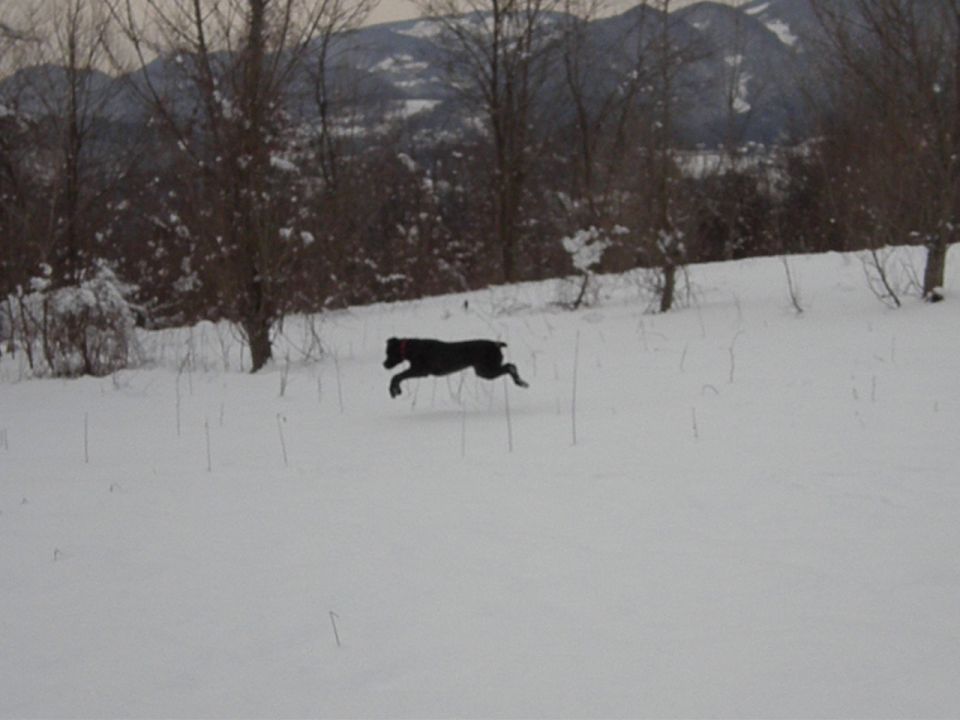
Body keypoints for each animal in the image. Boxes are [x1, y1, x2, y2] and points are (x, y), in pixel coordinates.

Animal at [384, 338, 532, 400]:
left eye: (388, 353)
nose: (384, 364)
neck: (411, 348)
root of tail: (496, 344)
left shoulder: (420, 371)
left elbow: (397, 376)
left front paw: (394, 391)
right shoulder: (417, 371)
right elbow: (398, 376)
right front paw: (397, 390)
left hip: (486, 370)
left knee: (510, 367)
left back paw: (520, 382)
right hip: (485, 370)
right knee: (511, 365)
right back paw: (521, 382)